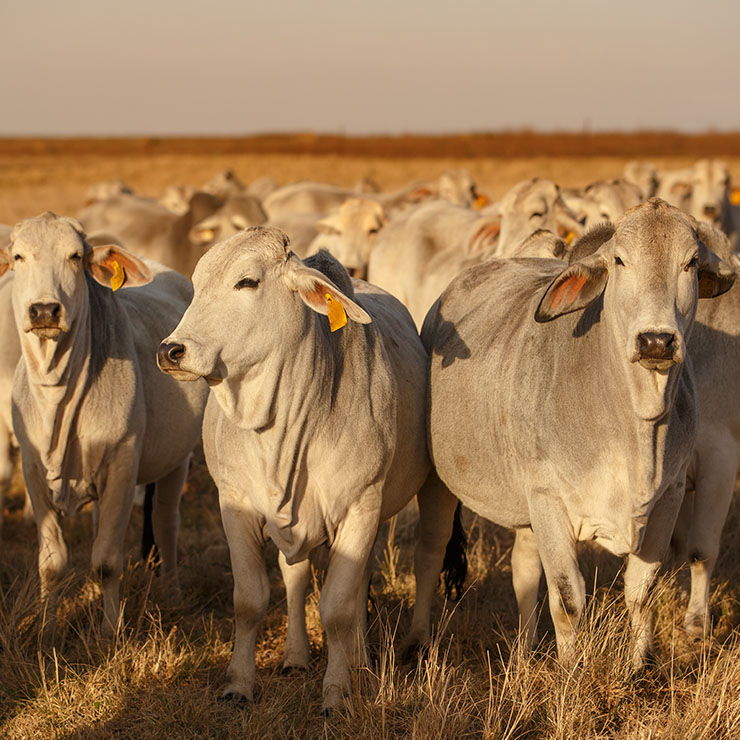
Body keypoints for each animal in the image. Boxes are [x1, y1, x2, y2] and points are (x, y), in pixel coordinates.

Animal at [159, 228, 430, 712]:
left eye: (247, 281)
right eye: (196, 281)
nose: (171, 350)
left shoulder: (361, 507)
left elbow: (338, 606)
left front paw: (337, 691)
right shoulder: (236, 506)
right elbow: (250, 600)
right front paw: (238, 685)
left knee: (358, 583)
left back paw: (359, 660)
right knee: (296, 577)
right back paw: (296, 657)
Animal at [408, 198, 736, 672]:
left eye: (691, 262)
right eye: (619, 260)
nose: (656, 341)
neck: (636, 428)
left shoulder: (669, 497)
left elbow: (641, 592)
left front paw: (638, 668)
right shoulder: (550, 500)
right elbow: (568, 599)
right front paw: (570, 671)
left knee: (525, 570)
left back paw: (525, 650)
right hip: (441, 481)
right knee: (430, 552)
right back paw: (416, 641)